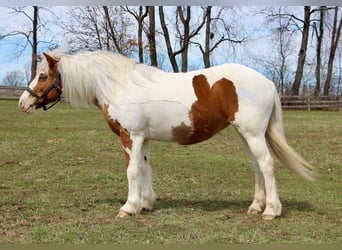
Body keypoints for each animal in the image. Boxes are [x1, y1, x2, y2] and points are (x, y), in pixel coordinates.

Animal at [17, 49, 314, 220]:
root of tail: (267, 82)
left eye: (42, 76)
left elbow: (132, 171)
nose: (23, 103)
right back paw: (256, 206)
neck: (120, 86)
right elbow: (145, 168)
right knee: (257, 167)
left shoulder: (131, 136)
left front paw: (129, 207)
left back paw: (271, 211)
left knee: (266, 165)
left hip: (252, 133)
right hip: (247, 134)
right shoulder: (144, 138)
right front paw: (146, 203)